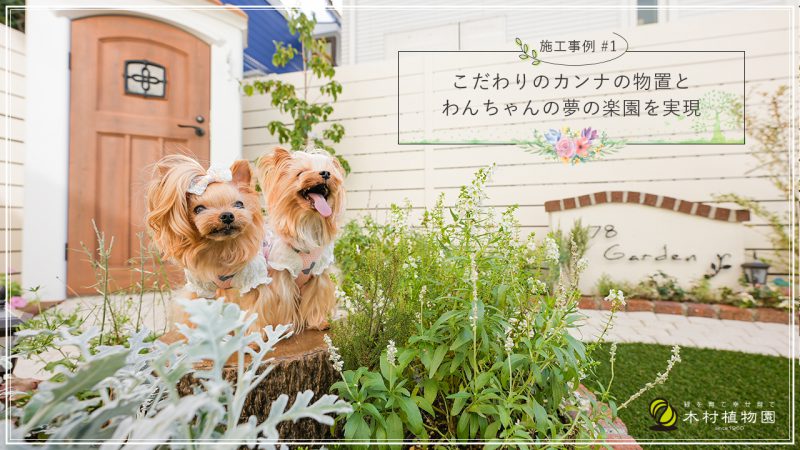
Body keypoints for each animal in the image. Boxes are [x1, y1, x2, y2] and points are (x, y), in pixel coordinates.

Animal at [256, 148, 344, 330]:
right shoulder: (282, 271)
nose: (326, 173)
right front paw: (285, 326)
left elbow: (316, 297)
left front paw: (319, 322)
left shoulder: (319, 273)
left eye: (330, 172)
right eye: (300, 173)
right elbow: (283, 299)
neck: (307, 222)